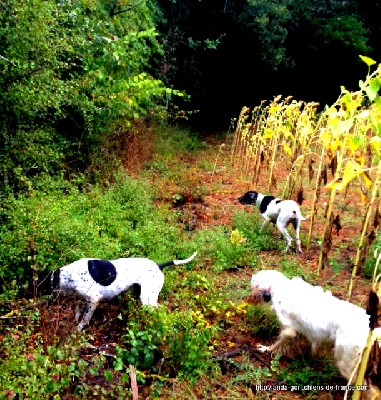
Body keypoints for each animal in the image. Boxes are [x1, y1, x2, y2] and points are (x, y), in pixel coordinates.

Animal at [31, 253, 197, 332]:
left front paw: (78, 329)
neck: (67, 275)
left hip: (148, 299)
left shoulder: (94, 299)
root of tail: (159, 266)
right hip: (142, 295)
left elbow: (85, 318)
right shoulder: (84, 298)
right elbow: (78, 310)